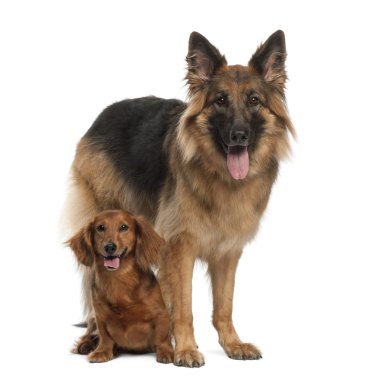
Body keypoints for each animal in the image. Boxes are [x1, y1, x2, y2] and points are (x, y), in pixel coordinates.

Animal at [68, 31, 294, 366]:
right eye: (220, 100)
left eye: (254, 100)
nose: (239, 135)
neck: (220, 178)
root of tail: (103, 115)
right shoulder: (179, 248)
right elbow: (183, 306)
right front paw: (185, 349)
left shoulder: (228, 252)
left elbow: (224, 305)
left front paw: (231, 344)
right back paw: (91, 340)